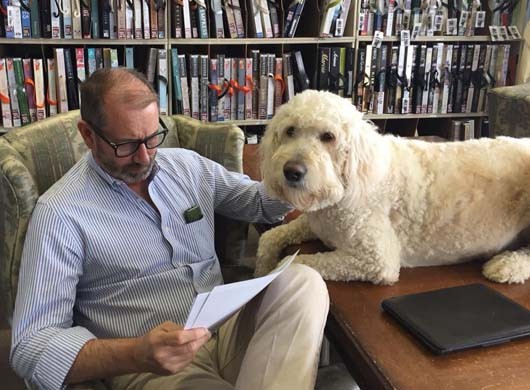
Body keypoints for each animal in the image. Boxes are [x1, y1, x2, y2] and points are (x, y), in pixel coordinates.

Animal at [256, 89, 530, 284]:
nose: (292, 171)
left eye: (328, 137)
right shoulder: (316, 223)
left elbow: (298, 262)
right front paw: (262, 267)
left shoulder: (376, 260)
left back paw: (507, 266)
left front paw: (272, 272)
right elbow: (270, 236)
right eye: (290, 130)